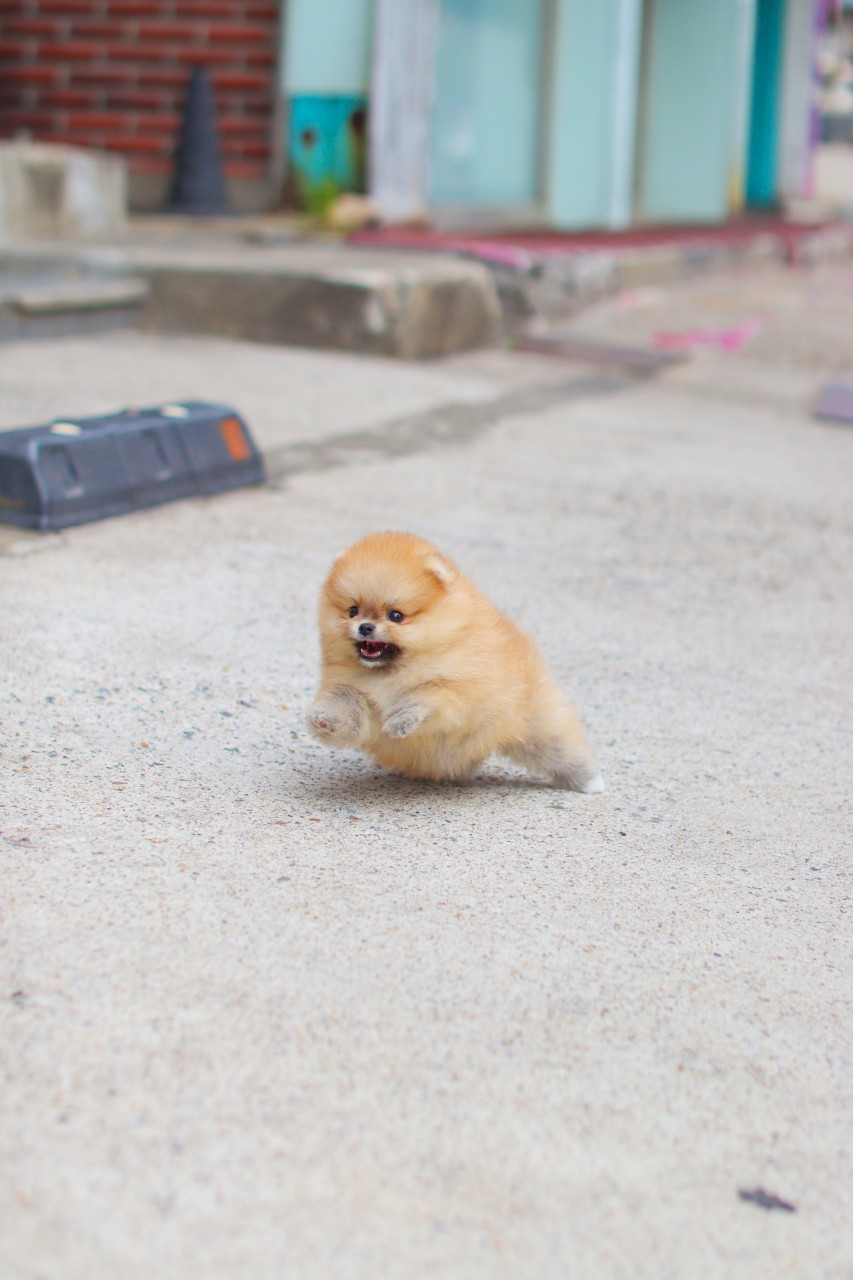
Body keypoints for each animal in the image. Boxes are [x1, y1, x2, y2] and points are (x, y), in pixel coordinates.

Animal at [306, 531, 603, 791]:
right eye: (352, 611)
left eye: (395, 616)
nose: (365, 627)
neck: (391, 673)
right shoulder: (352, 690)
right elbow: (347, 709)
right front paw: (324, 719)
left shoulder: (457, 688)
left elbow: (429, 697)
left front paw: (402, 718)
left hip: (537, 720)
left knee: (560, 749)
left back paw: (589, 782)